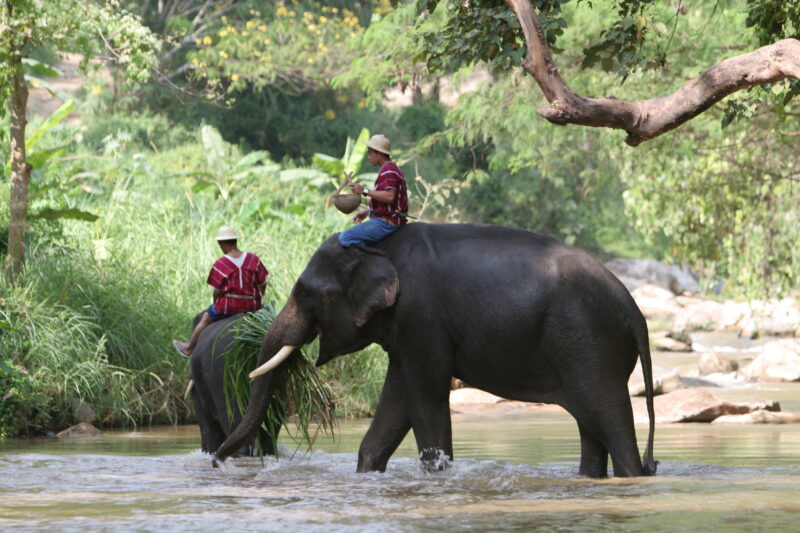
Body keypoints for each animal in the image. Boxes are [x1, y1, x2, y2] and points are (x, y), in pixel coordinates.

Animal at [212, 223, 657, 478]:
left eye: (305, 293)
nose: (217, 461)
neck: (380, 247)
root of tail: (635, 310)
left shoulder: (421, 316)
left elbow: (425, 394)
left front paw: (436, 474)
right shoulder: (406, 330)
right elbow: (398, 398)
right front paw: (369, 473)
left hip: (591, 345)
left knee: (610, 421)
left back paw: (633, 475)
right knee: (590, 426)